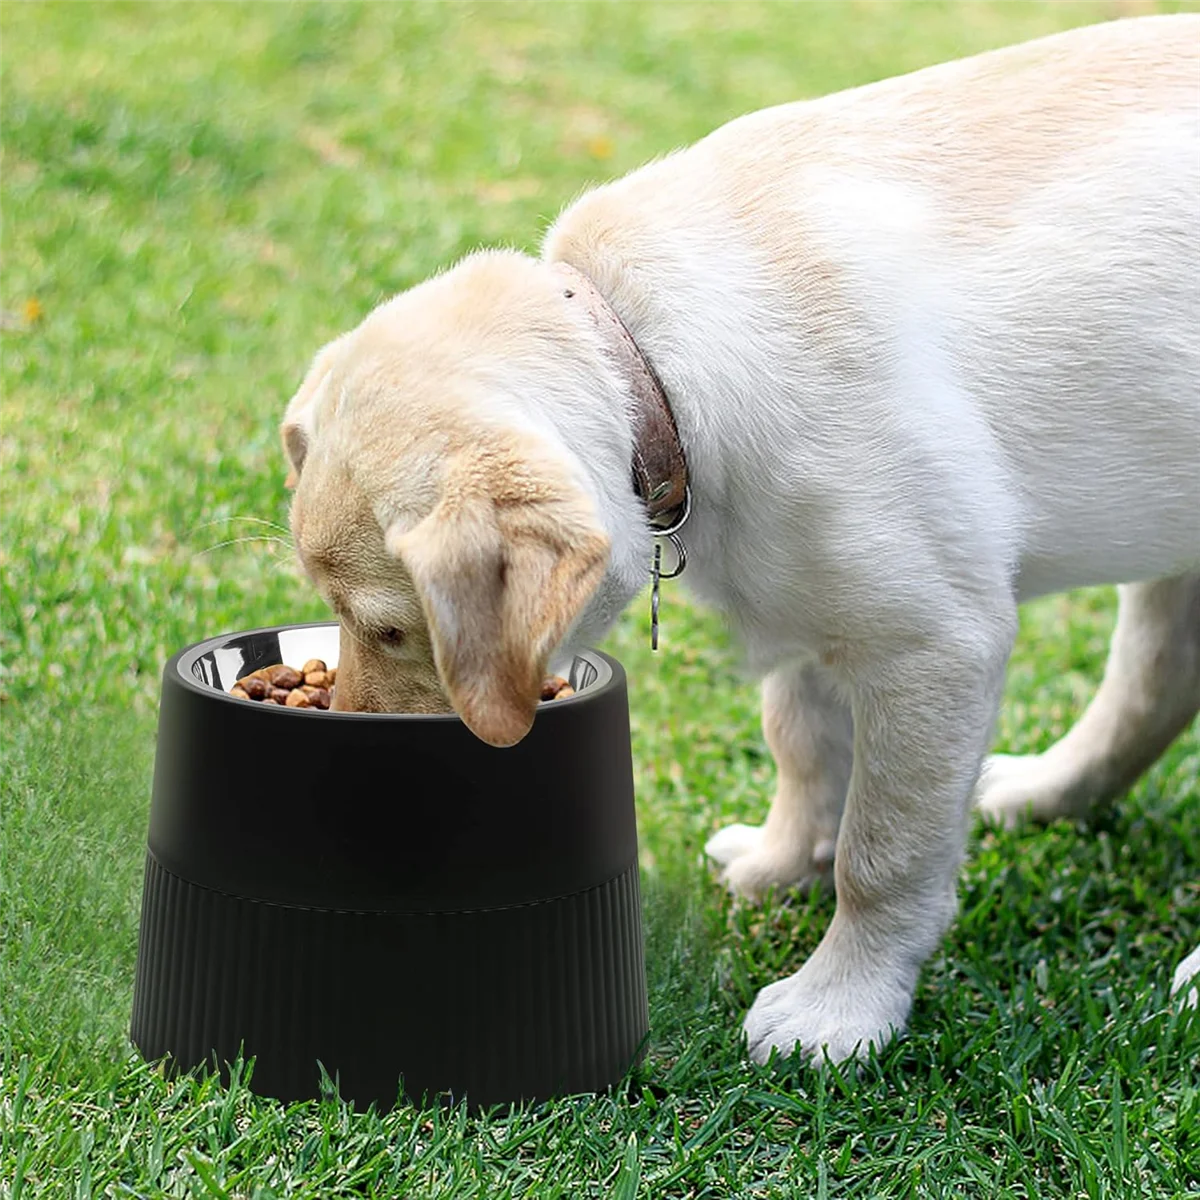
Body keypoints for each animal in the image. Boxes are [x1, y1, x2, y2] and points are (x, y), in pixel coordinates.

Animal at [283, 18, 1200, 1065]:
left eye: (394, 632)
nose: (349, 740)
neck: (647, 357)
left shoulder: (933, 642)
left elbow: (882, 852)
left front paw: (840, 1008)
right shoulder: (814, 603)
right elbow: (799, 743)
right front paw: (780, 859)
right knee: (1153, 685)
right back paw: (1050, 790)